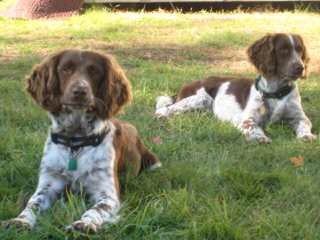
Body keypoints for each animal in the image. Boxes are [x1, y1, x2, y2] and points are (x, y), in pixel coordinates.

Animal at [3, 49, 161, 232]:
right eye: (66, 69)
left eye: (94, 71)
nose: (80, 91)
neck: (75, 142)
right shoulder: (49, 182)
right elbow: (33, 203)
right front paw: (20, 220)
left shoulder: (108, 193)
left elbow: (97, 209)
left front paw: (85, 224)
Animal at [155, 33, 316, 142]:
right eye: (283, 50)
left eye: (300, 50)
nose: (300, 68)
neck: (276, 93)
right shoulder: (246, 119)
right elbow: (253, 127)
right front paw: (260, 138)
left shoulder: (298, 116)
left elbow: (305, 123)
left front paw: (307, 136)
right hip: (200, 98)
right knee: (165, 109)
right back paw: (161, 115)